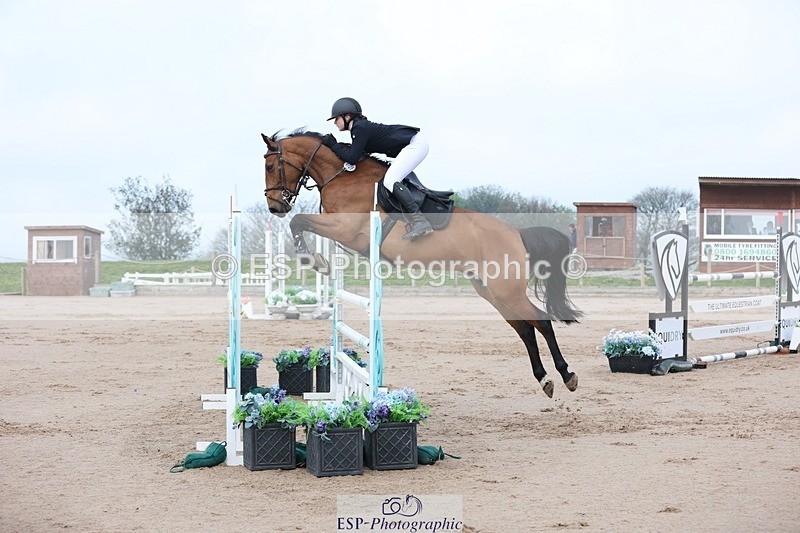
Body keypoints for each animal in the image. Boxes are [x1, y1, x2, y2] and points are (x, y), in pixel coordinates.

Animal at [261, 129, 582, 398]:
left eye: (270, 167)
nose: (275, 207)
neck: (341, 177)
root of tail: (517, 234)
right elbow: (300, 222)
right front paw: (316, 259)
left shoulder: (345, 228)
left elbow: (298, 221)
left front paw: (313, 259)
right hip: (492, 292)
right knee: (525, 328)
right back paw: (544, 379)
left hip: (506, 290)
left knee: (541, 320)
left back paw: (567, 375)